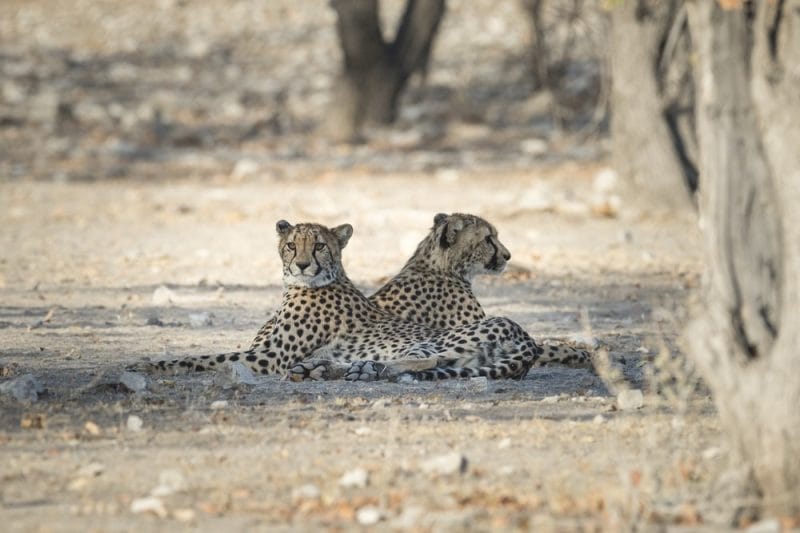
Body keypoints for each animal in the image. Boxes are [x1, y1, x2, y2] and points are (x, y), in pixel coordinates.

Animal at [134, 221, 592, 382]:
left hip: (440, 339)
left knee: (425, 360)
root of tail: (522, 337)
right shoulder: (265, 354)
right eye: (291, 244)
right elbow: (205, 356)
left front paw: (146, 365)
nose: (301, 264)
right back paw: (330, 369)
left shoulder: (267, 357)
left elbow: (204, 357)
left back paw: (352, 370)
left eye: (319, 245)